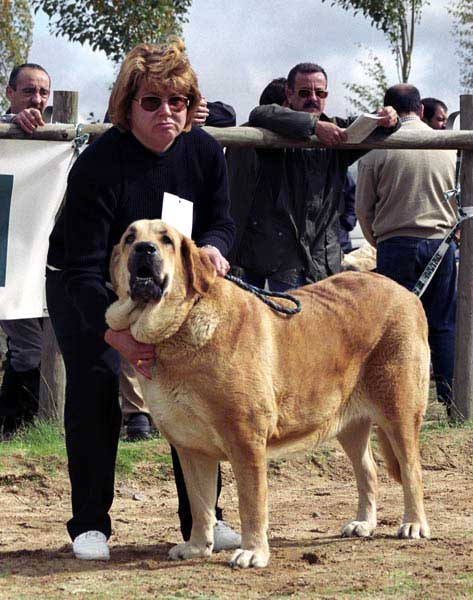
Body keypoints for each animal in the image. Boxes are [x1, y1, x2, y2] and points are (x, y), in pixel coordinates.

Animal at [105, 219, 430, 568]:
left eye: (165, 239)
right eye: (129, 238)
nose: (144, 249)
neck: (177, 329)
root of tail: (405, 292)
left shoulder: (246, 441)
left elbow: (251, 503)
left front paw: (252, 552)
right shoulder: (191, 449)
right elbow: (200, 504)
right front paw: (197, 547)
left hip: (399, 412)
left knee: (411, 469)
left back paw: (413, 524)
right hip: (348, 423)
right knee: (368, 471)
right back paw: (364, 523)